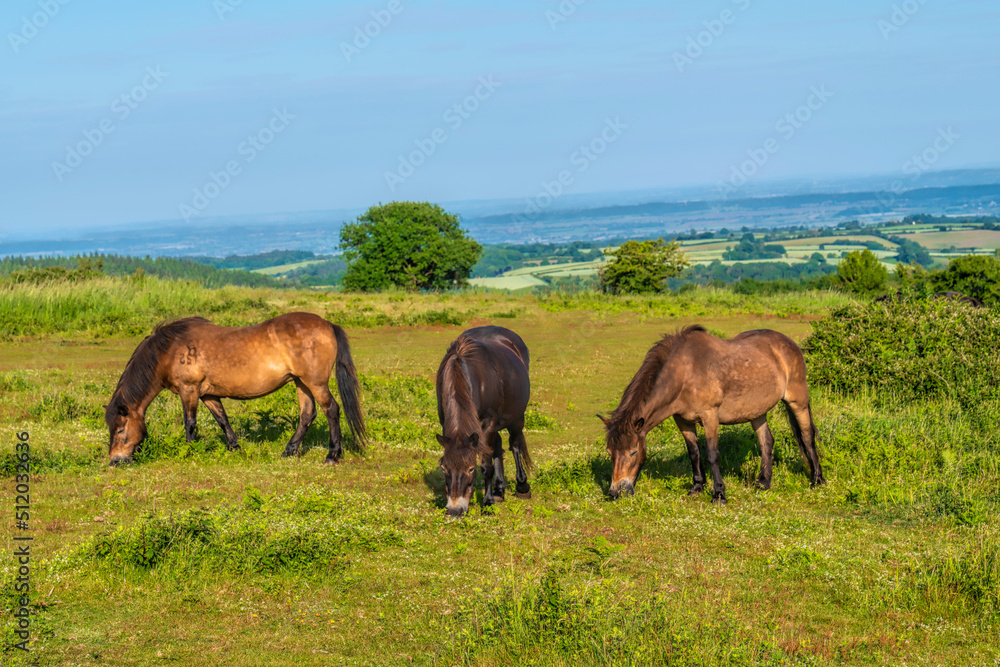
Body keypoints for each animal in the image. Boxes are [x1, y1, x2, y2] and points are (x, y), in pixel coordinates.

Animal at [101, 312, 366, 464]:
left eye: (121, 429)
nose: (115, 460)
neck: (169, 350)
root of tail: (327, 324)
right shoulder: (208, 394)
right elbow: (222, 420)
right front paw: (235, 448)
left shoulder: (189, 391)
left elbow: (190, 423)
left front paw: (189, 451)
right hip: (302, 383)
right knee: (307, 415)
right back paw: (289, 451)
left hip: (315, 383)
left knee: (332, 410)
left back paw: (333, 455)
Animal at [436, 326, 532, 520]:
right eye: (443, 468)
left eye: (471, 469)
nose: (455, 510)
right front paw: (494, 494)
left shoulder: (488, 426)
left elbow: (487, 467)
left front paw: (487, 504)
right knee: (498, 447)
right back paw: (499, 490)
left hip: (516, 418)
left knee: (515, 444)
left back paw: (522, 486)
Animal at [600, 326, 820, 504]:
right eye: (610, 452)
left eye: (633, 452)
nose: (616, 492)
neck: (685, 373)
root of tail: (789, 343)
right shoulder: (682, 420)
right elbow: (694, 452)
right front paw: (697, 487)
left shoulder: (710, 416)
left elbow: (712, 455)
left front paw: (719, 494)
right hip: (757, 411)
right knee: (766, 441)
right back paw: (764, 483)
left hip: (797, 400)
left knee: (807, 436)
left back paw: (817, 479)